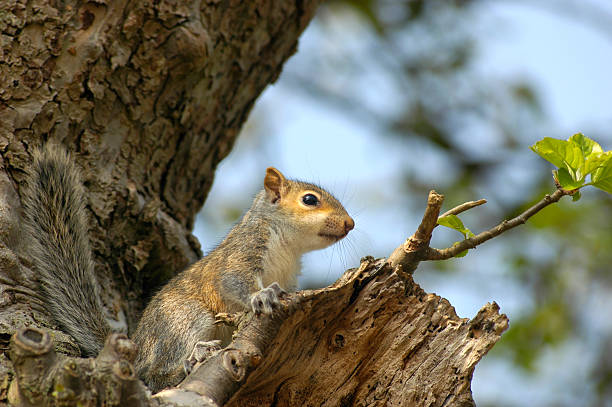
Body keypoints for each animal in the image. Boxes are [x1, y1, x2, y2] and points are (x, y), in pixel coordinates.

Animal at [21, 145, 354, 394]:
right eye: (309, 200)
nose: (350, 223)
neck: (287, 247)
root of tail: (138, 346)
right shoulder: (244, 251)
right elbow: (234, 281)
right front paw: (261, 296)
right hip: (183, 320)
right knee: (153, 373)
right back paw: (190, 361)